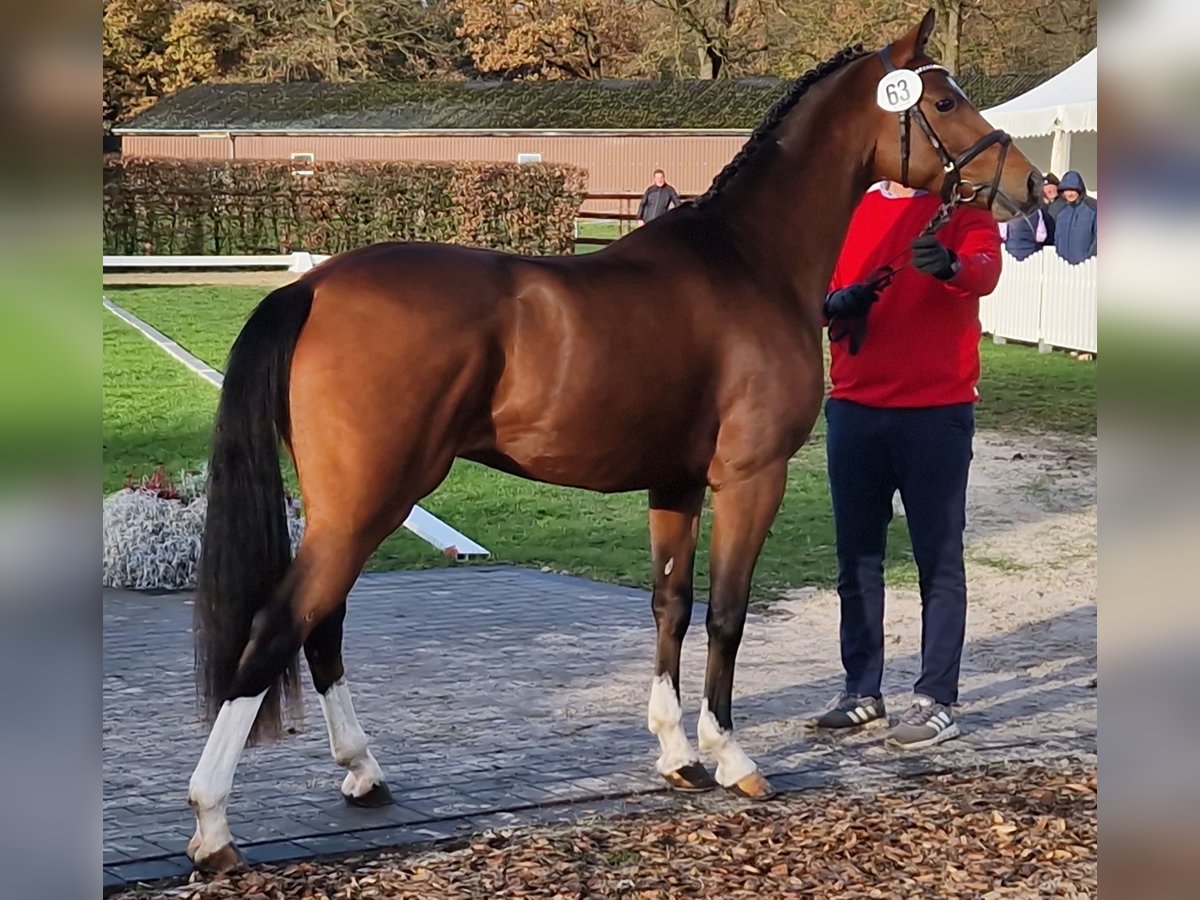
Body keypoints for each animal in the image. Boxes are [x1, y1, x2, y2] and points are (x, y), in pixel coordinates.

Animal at [184, 10, 1041, 873]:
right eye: (943, 98)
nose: (1030, 184)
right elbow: (727, 614)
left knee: (321, 626)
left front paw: (676, 753)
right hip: (369, 502)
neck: (749, 262)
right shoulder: (750, 478)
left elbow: (672, 604)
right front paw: (730, 756)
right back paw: (213, 825)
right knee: (278, 627)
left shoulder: (676, 484)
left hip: (345, 505)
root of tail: (312, 285)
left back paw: (363, 773)